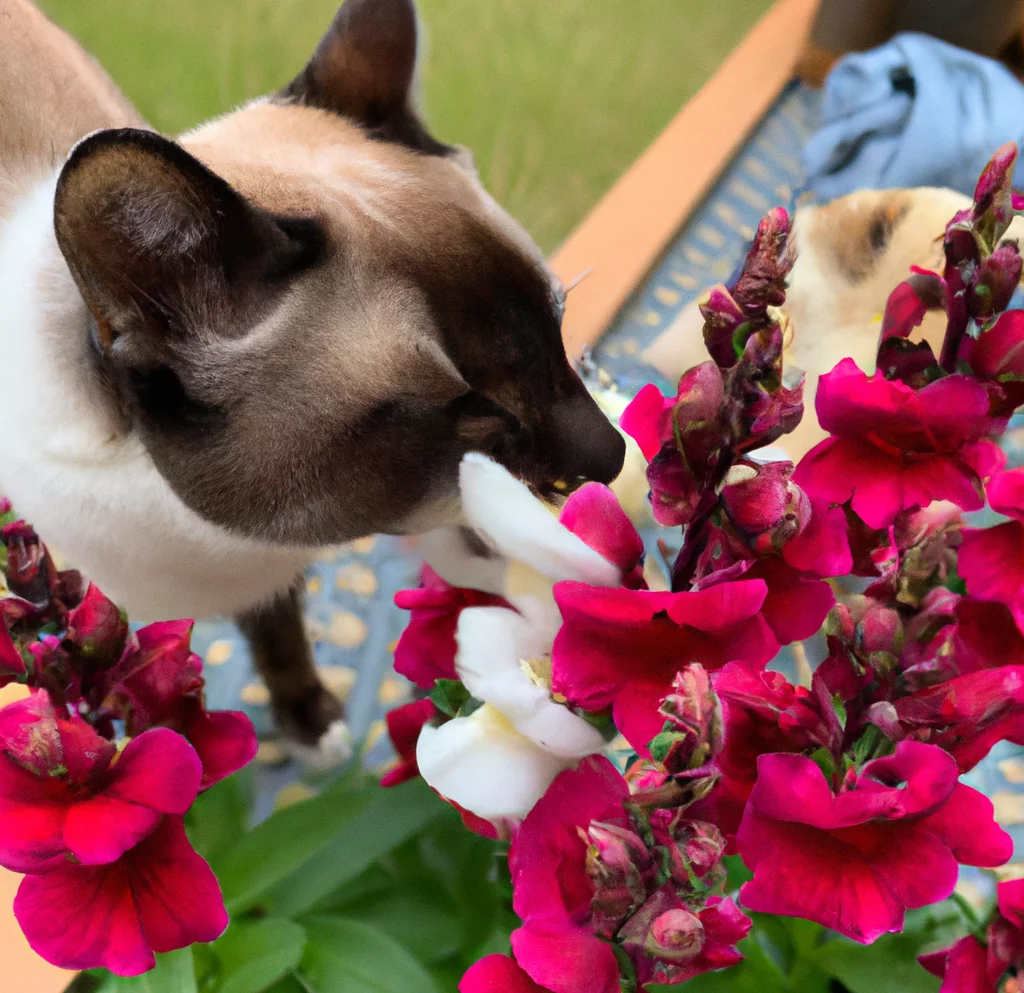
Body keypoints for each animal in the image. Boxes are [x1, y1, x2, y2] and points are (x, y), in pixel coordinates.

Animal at [0, 0, 622, 757]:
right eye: (472, 407)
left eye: (557, 324)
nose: (612, 457)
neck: (214, 543)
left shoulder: (279, 578)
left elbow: (282, 635)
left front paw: (311, 721)